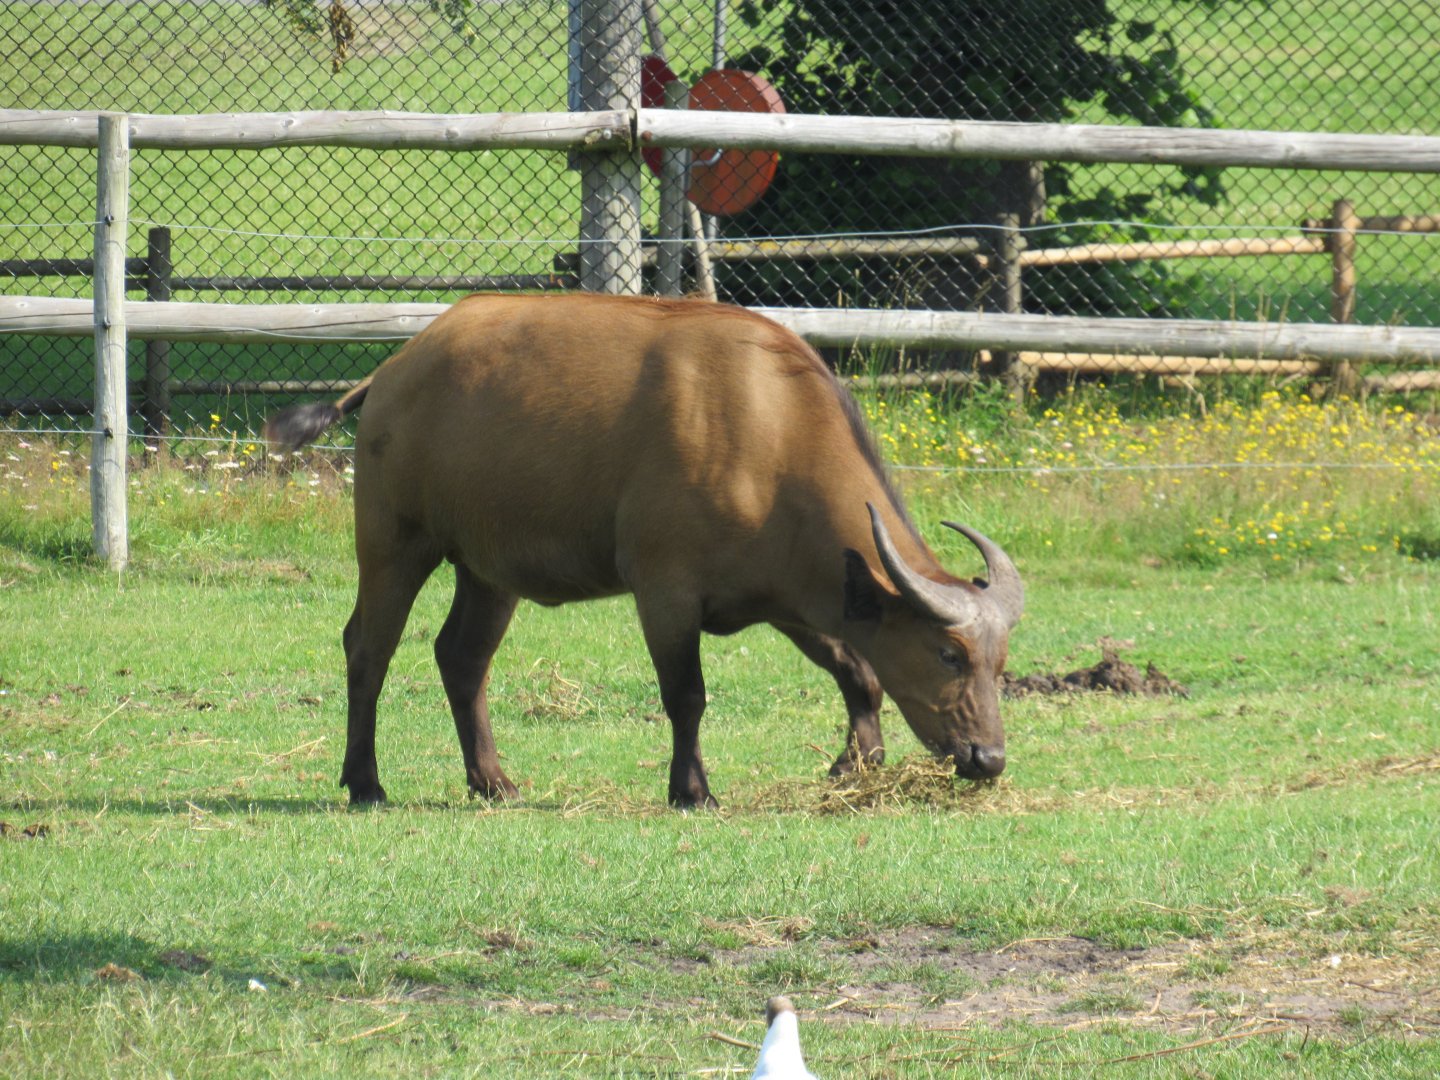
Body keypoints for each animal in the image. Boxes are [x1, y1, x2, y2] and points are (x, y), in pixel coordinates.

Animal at [265, 293, 1022, 807]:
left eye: (999, 663)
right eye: (948, 653)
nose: (988, 758)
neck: (771, 436)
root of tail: (394, 370)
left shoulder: (789, 596)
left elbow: (857, 670)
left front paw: (853, 764)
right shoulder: (665, 591)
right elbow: (686, 695)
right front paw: (693, 789)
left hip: (489, 567)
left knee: (461, 657)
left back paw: (493, 780)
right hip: (394, 543)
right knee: (368, 648)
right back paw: (365, 781)